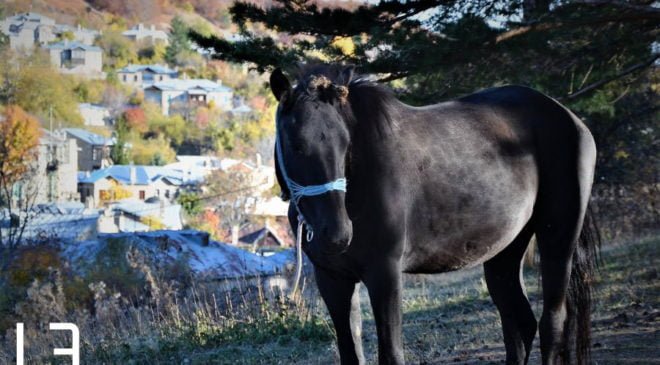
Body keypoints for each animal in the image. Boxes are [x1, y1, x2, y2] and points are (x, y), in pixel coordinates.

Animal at [270, 64, 600, 362]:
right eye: (296, 145)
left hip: (558, 240)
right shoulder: (333, 280)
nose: (337, 235)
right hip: (504, 252)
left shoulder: (384, 274)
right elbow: (350, 354)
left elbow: (391, 354)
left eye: (345, 144)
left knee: (552, 324)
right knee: (519, 326)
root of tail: (568, 116)